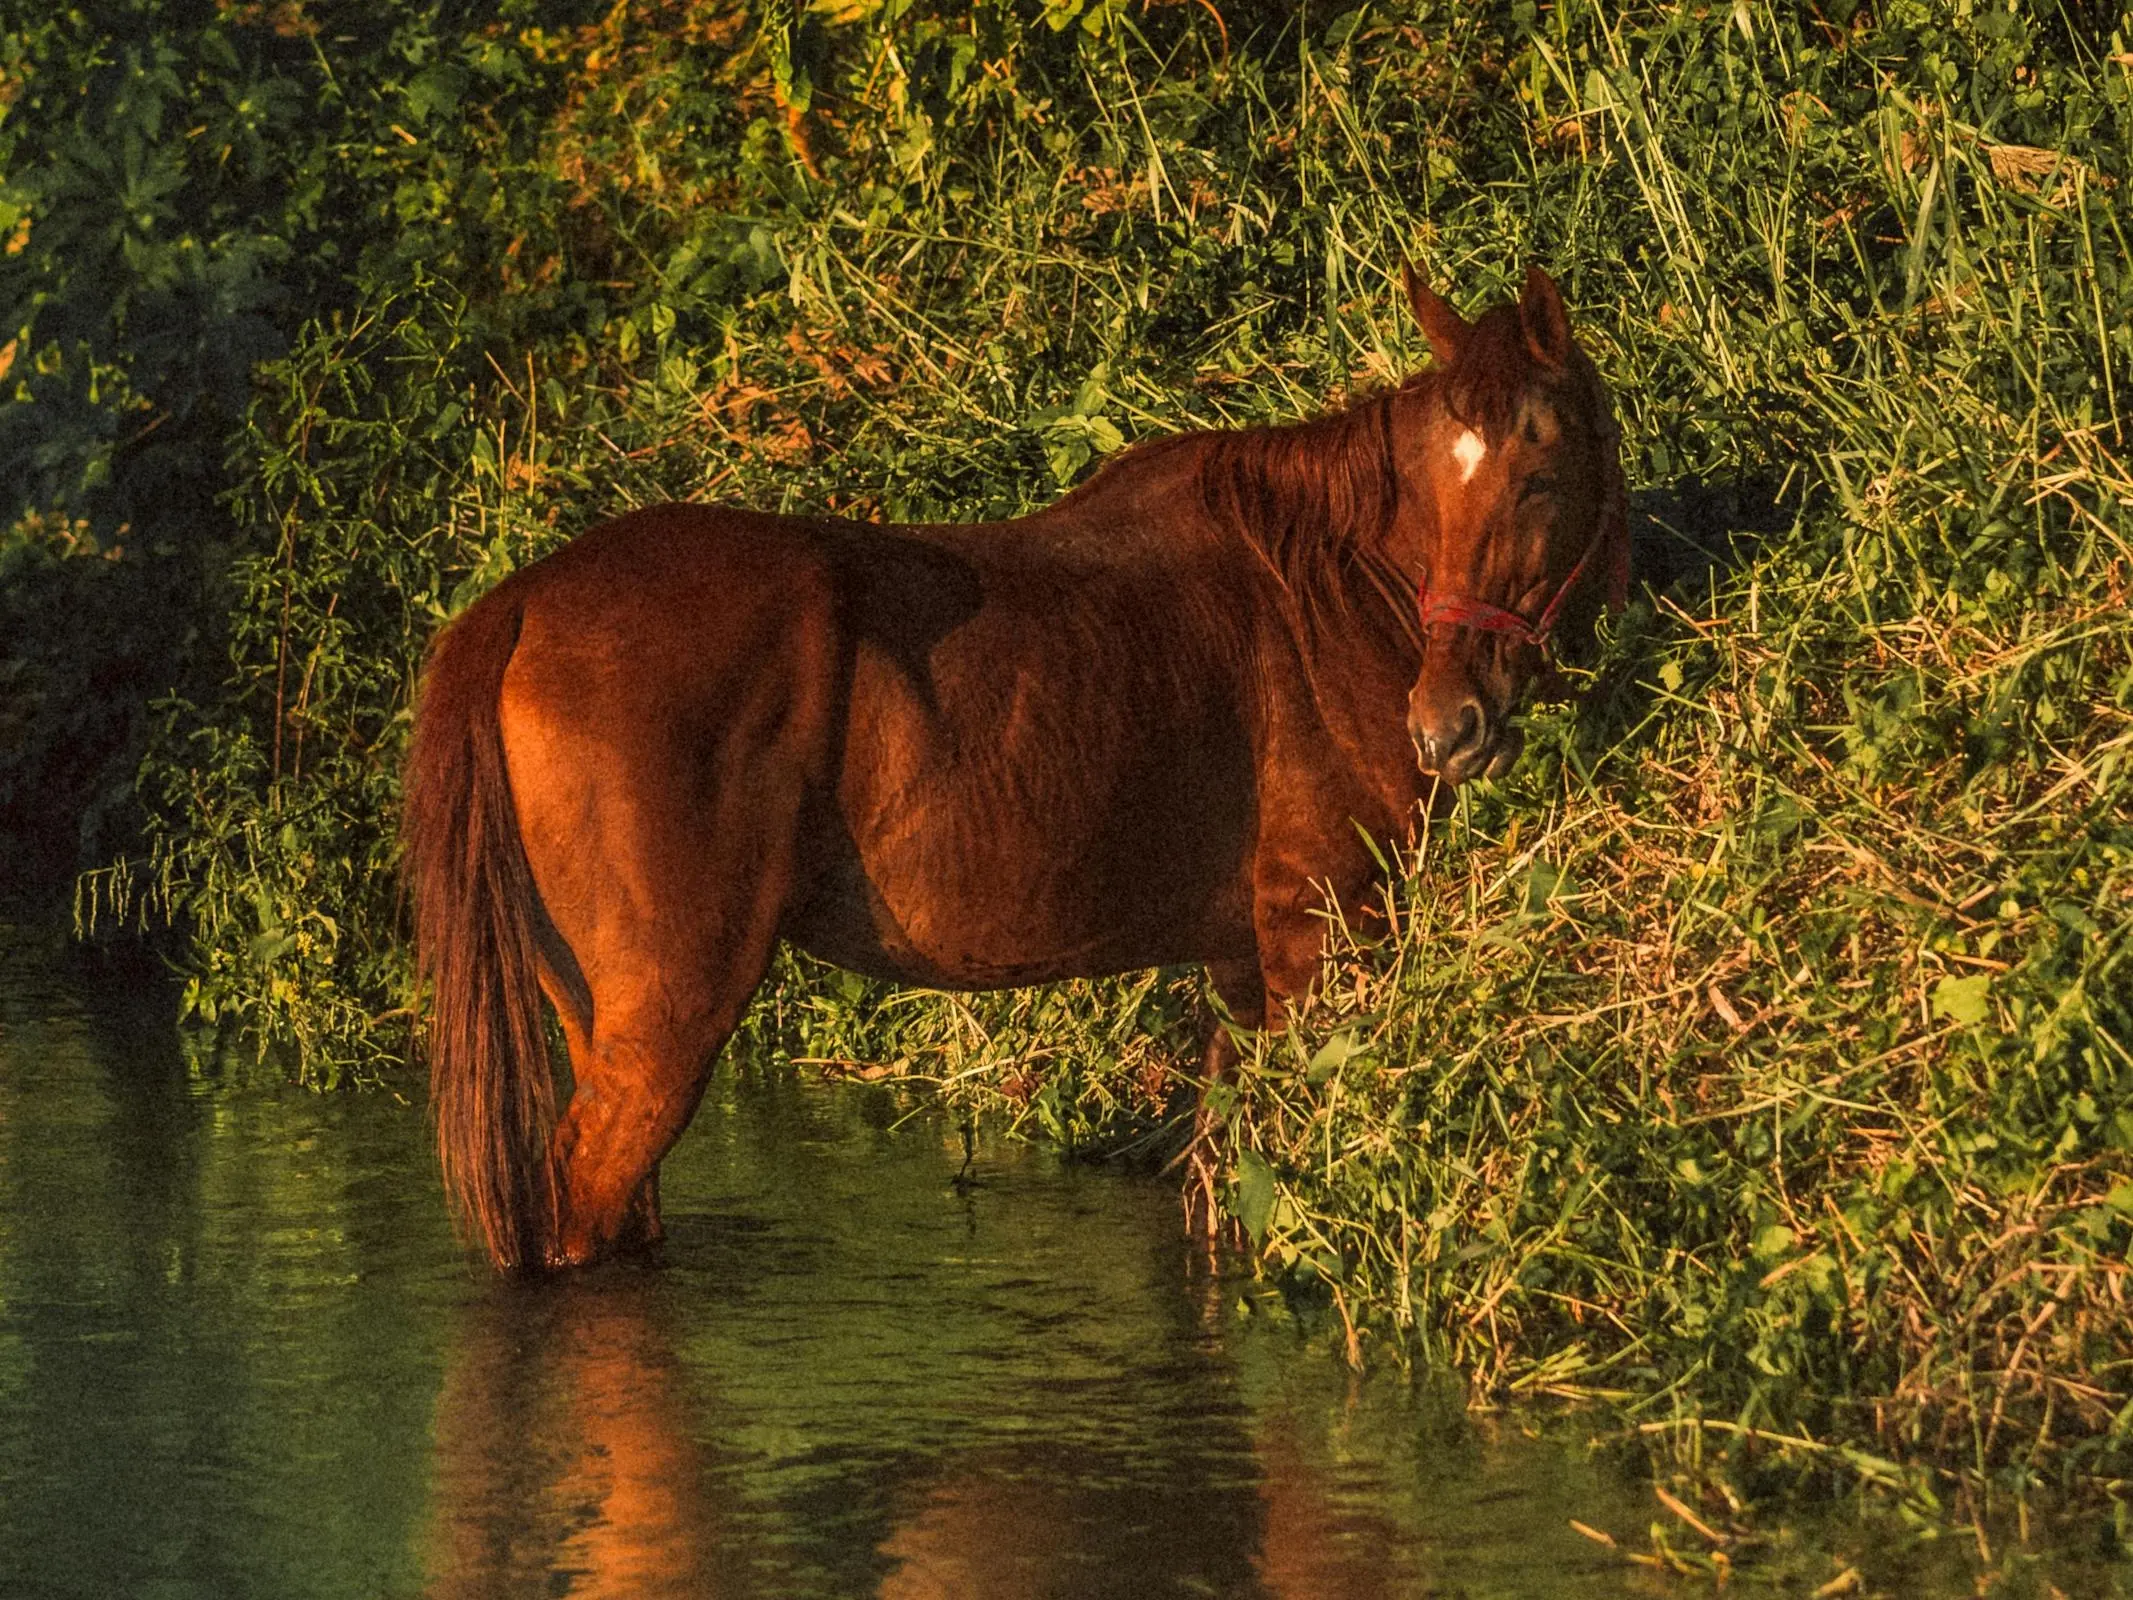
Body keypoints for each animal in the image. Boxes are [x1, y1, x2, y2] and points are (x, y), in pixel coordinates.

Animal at [403, 263, 1629, 1271]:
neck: (1315, 595)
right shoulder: (1320, 940)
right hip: (665, 1025)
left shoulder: (1240, 964)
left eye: (1535, 477)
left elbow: (1225, 1184)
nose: (1446, 724)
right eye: (1437, 480)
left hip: (598, 1021)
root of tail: (523, 601)